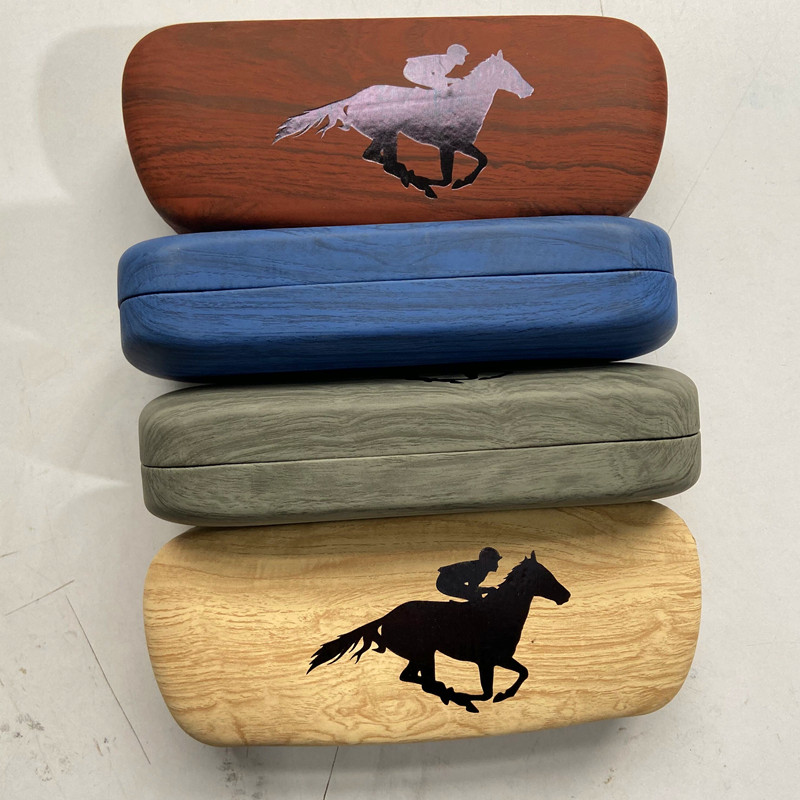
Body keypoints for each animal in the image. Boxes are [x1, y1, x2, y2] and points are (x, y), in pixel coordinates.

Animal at [274, 51, 533, 198]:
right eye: (509, 72)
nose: (529, 90)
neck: (465, 100)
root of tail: (353, 98)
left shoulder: (453, 146)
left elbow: (479, 162)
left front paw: (452, 182)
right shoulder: (451, 145)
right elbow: (452, 176)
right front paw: (442, 183)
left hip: (386, 134)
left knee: (375, 157)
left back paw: (409, 175)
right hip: (389, 132)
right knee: (384, 161)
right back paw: (413, 178)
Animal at [307, 550, 569, 713]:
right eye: (545, 576)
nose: (566, 595)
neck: (500, 612)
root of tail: (386, 618)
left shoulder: (500, 658)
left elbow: (523, 672)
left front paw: (503, 694)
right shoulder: (487, 661)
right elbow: (486, 693)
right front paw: (475, 696)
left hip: (421, 654)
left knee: (413, 678)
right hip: (423, 652)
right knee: (424, 682)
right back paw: (452, 694)